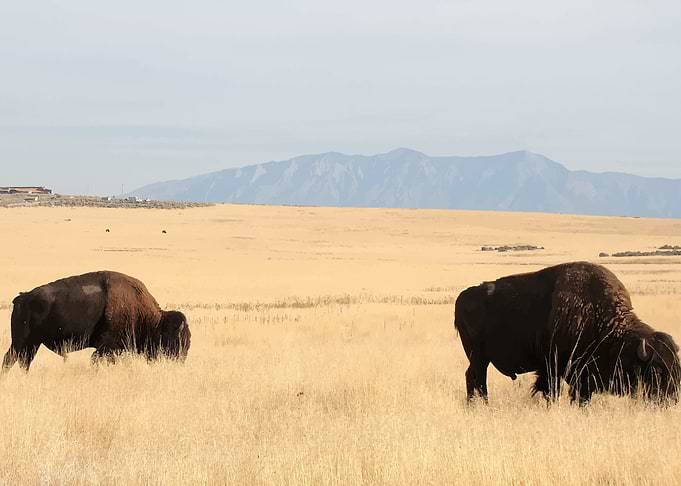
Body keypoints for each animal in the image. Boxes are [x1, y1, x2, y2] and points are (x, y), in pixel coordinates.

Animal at [2, 271, 190, 371]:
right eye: (177, 340)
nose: (181, 361)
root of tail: (21, 298)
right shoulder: (105, 348)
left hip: (32, 343)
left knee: (23, 362)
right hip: (22, 342)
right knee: (10, 360)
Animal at [454, 262, 680, 404]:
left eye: (677, 366)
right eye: (658, 370)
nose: (672, 398)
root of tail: (462, 297)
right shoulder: (552, 368)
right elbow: (550, 391)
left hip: (480, 358)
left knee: (472, 377)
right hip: (479, 357)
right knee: (477, 378)